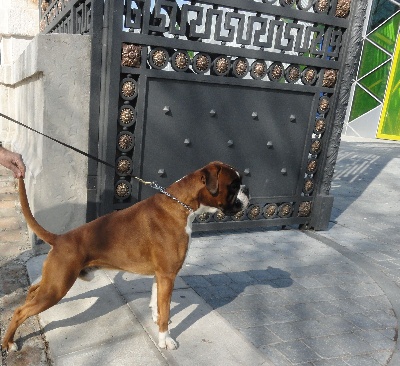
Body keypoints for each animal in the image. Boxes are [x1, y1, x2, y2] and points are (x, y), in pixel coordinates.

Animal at [1, 162, 248, 352]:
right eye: (234, 185)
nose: (247, 188)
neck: (182, 206)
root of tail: (61, 238)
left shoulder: (161, 276)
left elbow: (157, 302)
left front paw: (157, 319)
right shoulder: (168, 275)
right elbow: (165, 310)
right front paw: (165, 340)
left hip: (53, 281)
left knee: (33, 290)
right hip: (57, 287)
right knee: (19, 311)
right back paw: (9, 342)